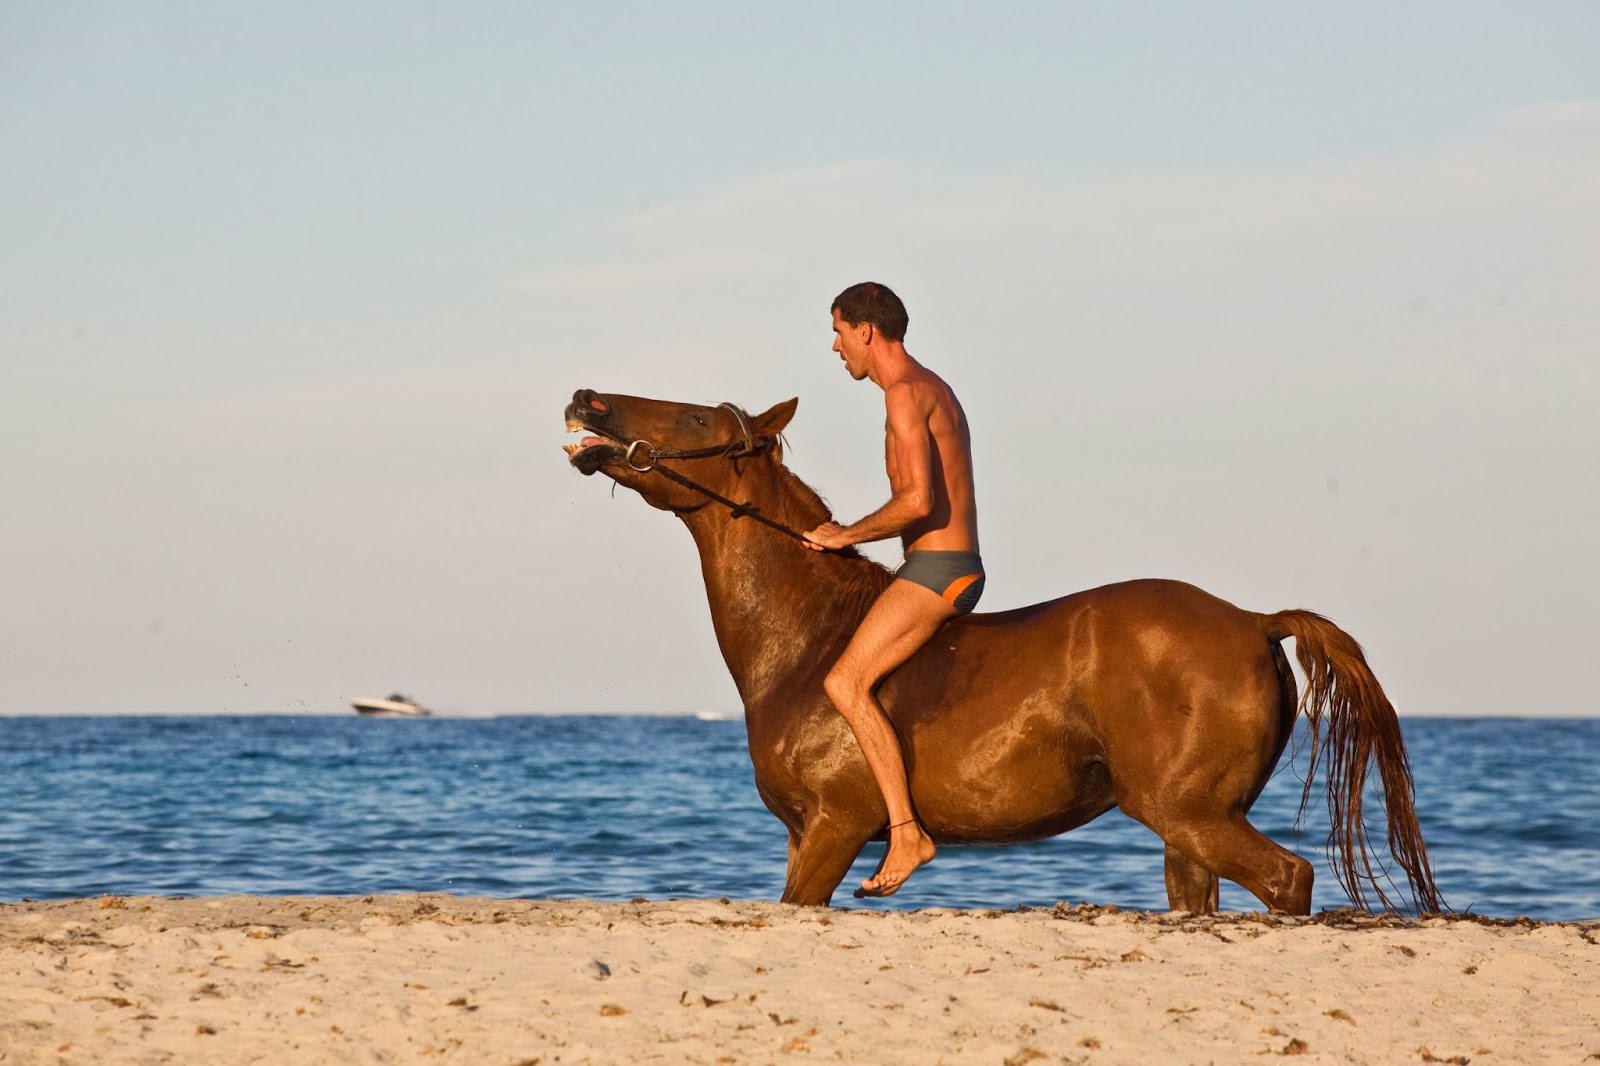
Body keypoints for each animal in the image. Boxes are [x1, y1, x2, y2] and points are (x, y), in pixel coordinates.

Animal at [562, 388, 1443, 915]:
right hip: (1191, 826)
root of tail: (1255, 619)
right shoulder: (798, 832)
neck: (807, 642)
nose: (587, 400)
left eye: (699, 420)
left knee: (1289, 878)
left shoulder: (836, 827)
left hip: (1188, 811)